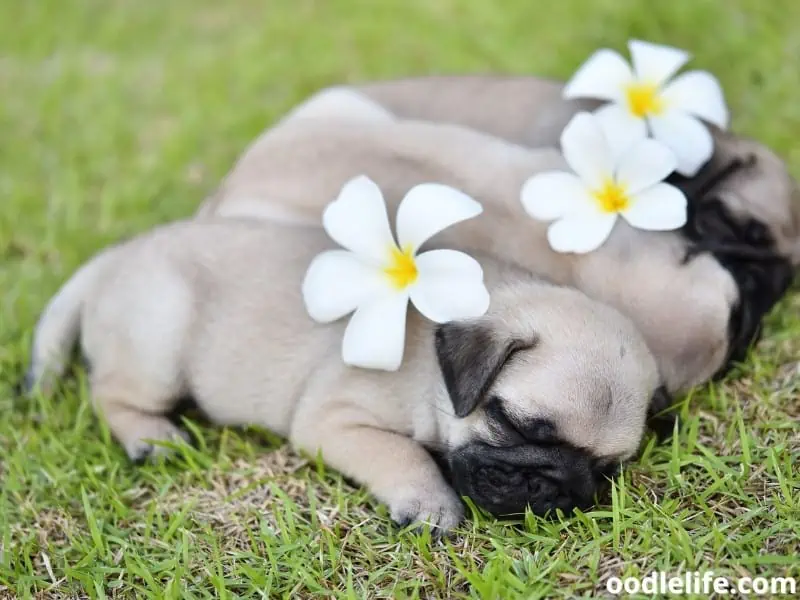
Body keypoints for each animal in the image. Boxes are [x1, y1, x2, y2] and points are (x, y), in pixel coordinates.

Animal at [25, 218, 664, 528]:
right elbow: (401, 453)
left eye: (605, 470)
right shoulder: (336, 420)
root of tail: (111, 260)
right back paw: (151, 437)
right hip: (159, 340)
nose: (553, 488)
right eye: (514, 425)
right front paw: (429, 503)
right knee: (110, 393)